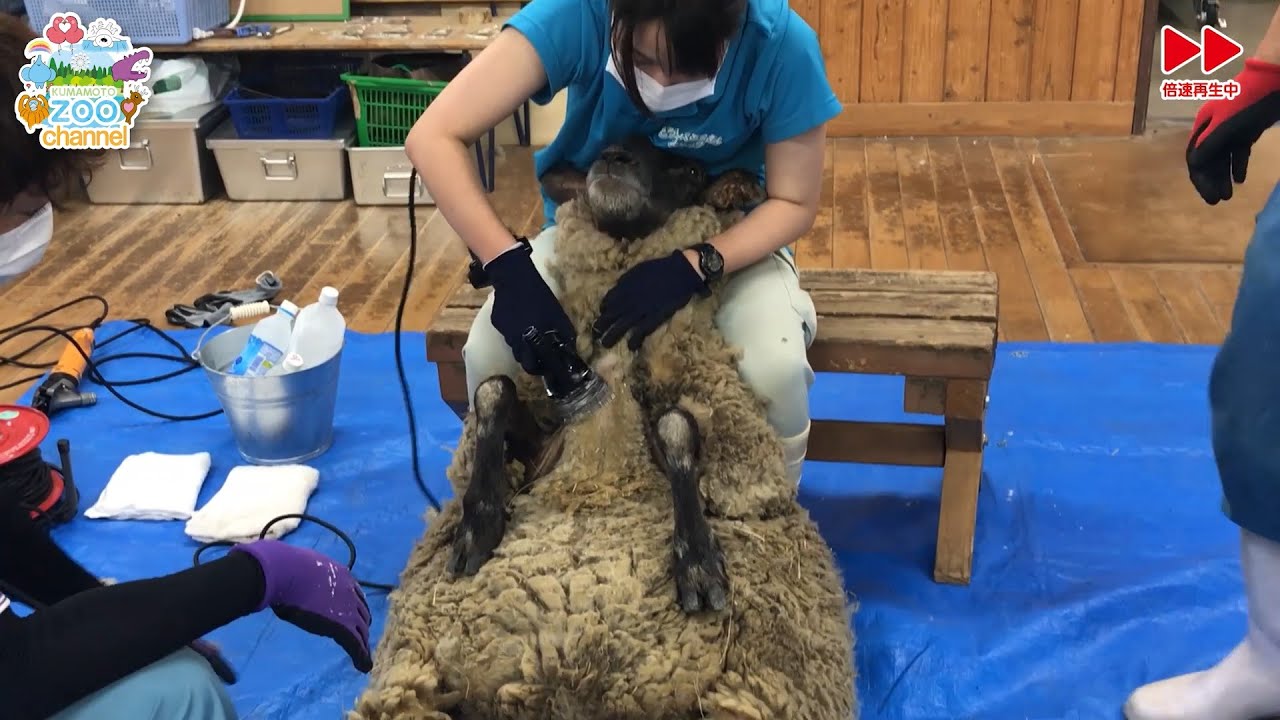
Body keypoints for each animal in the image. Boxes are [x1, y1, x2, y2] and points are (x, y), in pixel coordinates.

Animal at [345, 135, 855, 717]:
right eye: (604, 150)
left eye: (690, 169)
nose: (614, 158)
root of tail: (569, 688)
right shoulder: (546, 438)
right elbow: (493, 391)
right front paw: (478, 526)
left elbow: (677, 426)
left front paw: (699, 565)